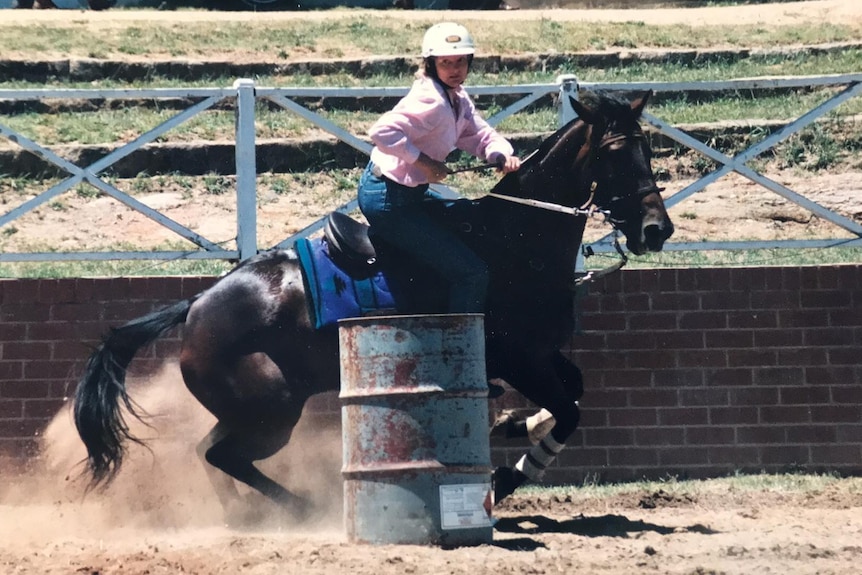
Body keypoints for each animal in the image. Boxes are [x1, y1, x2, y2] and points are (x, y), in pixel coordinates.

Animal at [74, 90, 680, 520]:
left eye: (648, 149)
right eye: (614, 154)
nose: (657, 230)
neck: (514, 240)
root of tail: (199, 304)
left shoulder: (542, 355)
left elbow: (572, 394)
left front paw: (516, 424)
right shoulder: (519, 359)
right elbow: (570, 410)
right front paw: (502, 474)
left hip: (252, 411)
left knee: (211, 452)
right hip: (273, 410)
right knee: (223, 455)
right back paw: (301, 510)